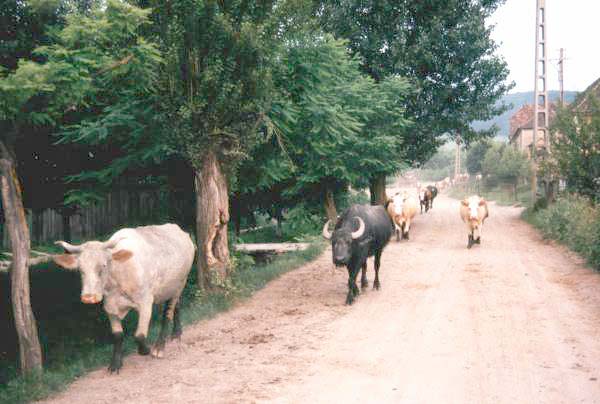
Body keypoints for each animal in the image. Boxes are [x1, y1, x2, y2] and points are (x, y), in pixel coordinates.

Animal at [53, 224, 195, 372]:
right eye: (80, 270)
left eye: (103, 265)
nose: (89, 297)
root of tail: (179, 230)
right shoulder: (110, 307)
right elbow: (118, 335)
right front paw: (115, 364)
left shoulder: (145, 302)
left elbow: (139, 335)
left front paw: (145, 349)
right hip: (166, 290)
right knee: (176, 306)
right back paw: (176, 333)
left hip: (180, 283)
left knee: (168, 313)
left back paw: (159, 347)